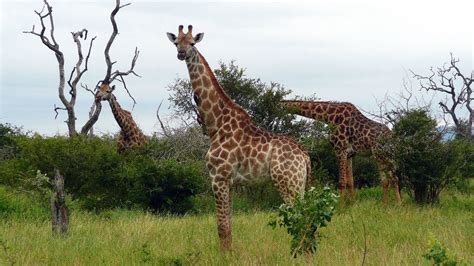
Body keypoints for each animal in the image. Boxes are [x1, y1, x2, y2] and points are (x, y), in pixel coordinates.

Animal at [167, 25, 312, 251]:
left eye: (192, 43)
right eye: (176, 43)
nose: (181, 54)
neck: (216, 124)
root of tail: (304, 156)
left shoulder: (218, 177)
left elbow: (221, 227)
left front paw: (223, 256)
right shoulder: (231, 182)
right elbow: (229, 226)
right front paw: (229, 253)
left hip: (288, 182)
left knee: (301, 218)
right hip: (300, 183)